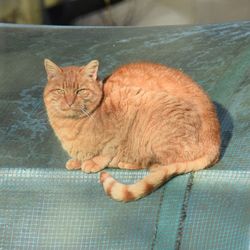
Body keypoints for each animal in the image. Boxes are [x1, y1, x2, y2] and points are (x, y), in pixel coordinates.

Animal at [43, 59, 221, 202]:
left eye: (80, 91)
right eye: (60, 91)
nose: (69, 102)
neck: (70, 126)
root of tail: (216, 142)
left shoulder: (125, 102)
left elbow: (108, 148)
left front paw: (94, 161)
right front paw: (77, 160)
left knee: (159, 163)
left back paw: (129, 163)